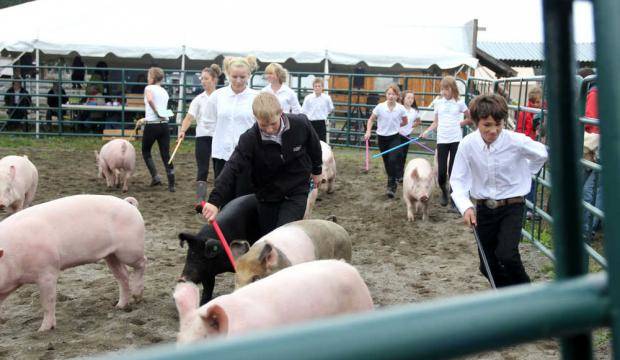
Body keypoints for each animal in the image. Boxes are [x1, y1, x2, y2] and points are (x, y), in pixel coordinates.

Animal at [0, 195, 147, 330]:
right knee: (123, 276)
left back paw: (137, 296)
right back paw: (119, 306)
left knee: (143, 262)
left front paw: (42, 330)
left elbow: (47, 302)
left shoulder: (48, 271)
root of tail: (128, 203)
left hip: (129, 250)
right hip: (111, 255)